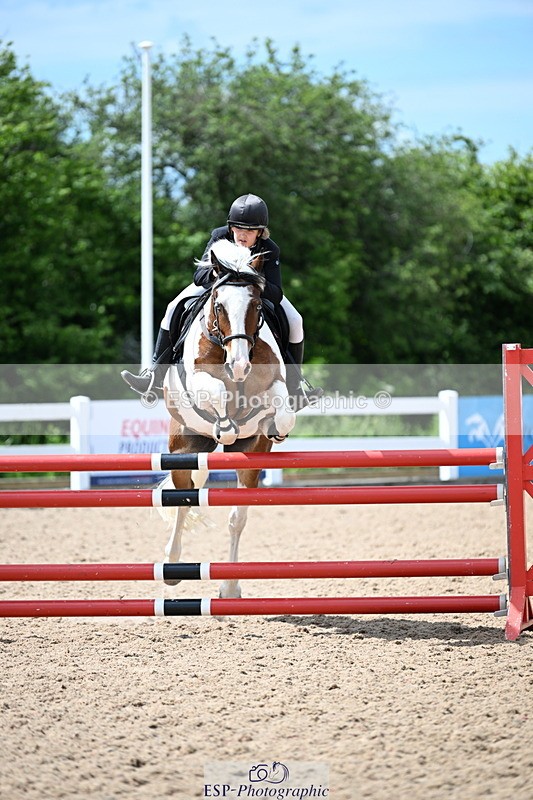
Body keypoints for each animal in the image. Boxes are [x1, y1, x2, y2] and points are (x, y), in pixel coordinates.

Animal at [161, 238, 296, 598]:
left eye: (257, 307)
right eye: (219, 306)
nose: (239, 365)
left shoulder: (274, 383)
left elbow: (283, 409)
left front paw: (276, 427)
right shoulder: (199, 381)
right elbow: (218, 390)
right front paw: (225, 424)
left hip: (249, 457)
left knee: (236, 517)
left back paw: (230, 588)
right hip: (184, 447)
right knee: (182, 500)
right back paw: (171, 566)